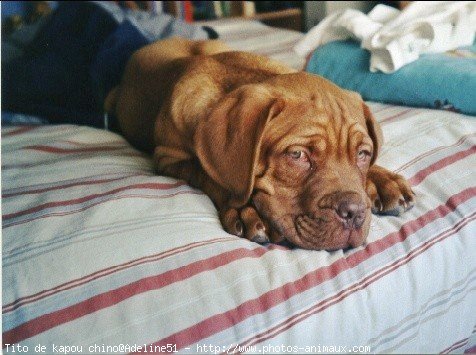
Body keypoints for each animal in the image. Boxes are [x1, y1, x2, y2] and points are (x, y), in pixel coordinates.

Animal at [106, 36, 414, 250]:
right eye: (297, 155)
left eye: (363, 154)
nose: (355, 213)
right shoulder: (168, 158)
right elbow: (209, 174)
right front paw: (248, 210)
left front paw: (383, 180)